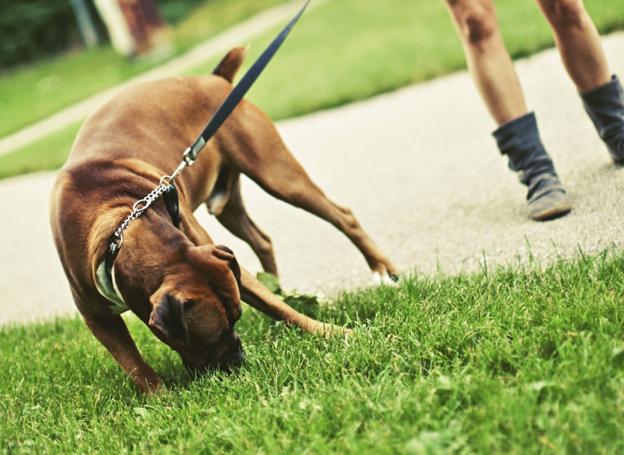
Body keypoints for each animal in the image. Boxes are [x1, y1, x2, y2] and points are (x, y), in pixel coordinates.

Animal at [51, 47, 398, 396]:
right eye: (215, 333)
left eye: (237, 318)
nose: (239, 358)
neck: (120, 225)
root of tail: (214, 79)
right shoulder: (98, 318)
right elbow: (134, 363)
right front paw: (159, 397)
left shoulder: (215, 256)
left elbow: (277, 306)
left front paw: (335, 333)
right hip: (228, 205)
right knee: (262, 240)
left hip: (278, 174)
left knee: (342, 216)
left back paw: (382, 268)